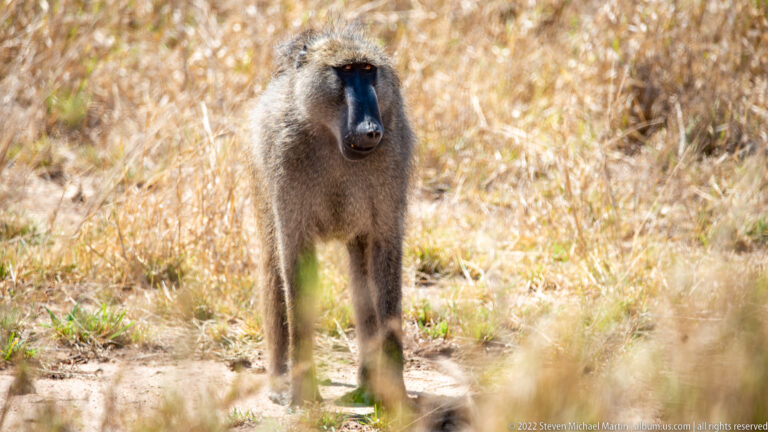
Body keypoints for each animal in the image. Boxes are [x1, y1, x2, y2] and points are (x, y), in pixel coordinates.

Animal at [247, 24, 415, 408]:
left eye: (368, 71)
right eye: (346, 71)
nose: (370, 128)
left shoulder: (392, 157)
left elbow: (384, 260)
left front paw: (394, 392)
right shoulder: (285, 162)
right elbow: (294, 265)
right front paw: (302, 392)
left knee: (361, 273)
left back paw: (368, 385)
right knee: (272, 268)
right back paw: (280, 379)